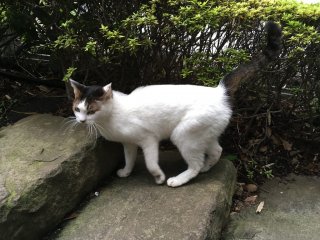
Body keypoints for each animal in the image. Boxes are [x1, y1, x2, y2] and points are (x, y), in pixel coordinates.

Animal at [69, 22, 280, 188]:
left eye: (91, 110)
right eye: (77, 109)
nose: (81, 121)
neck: (111, 117)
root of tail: (219, 92)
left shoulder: (149, 140)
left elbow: (151, 163)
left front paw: (158, 177)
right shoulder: (128, 143)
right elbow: (129, 159)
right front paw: (126, 172)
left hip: (183, 135)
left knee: (195, 164)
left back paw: (179, 179)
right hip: (203, 134)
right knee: (216, 151)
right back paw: (206, 167)